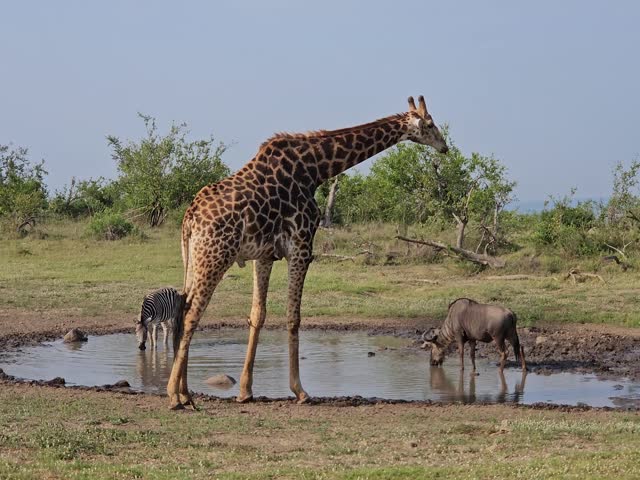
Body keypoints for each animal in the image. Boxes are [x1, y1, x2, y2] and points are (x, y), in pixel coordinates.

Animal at [167, 96, 448, 409]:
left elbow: (258, 314)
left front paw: (245, 391)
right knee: (191, 315)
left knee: (181, 309)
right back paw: (174, 396)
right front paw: (300, 391)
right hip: (215, 257)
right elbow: (294, 317)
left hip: (194, 260)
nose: (444, 147)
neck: (316, 169)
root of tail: (189, 219)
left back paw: (185, 393)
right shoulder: (302, 246)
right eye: (430, 124)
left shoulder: (263, 254)